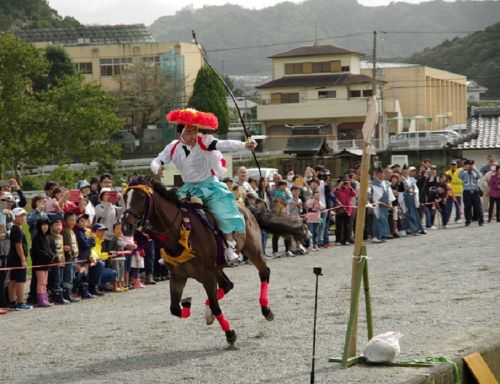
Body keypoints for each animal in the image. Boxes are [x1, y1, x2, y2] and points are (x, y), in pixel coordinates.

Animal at [123, 178, 276, 346]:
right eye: (124, 197)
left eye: (141, 197)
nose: (126, 226)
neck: (179, 233)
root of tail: (247, 208)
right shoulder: (178, 276)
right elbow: (174, 309)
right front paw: (187, 304)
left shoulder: (207, 276)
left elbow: (216, 306)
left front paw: (230, 334)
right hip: (216, 268)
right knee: (227, 285)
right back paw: (208, 314)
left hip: (252, 250)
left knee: (264, 273)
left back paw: (266, 310)